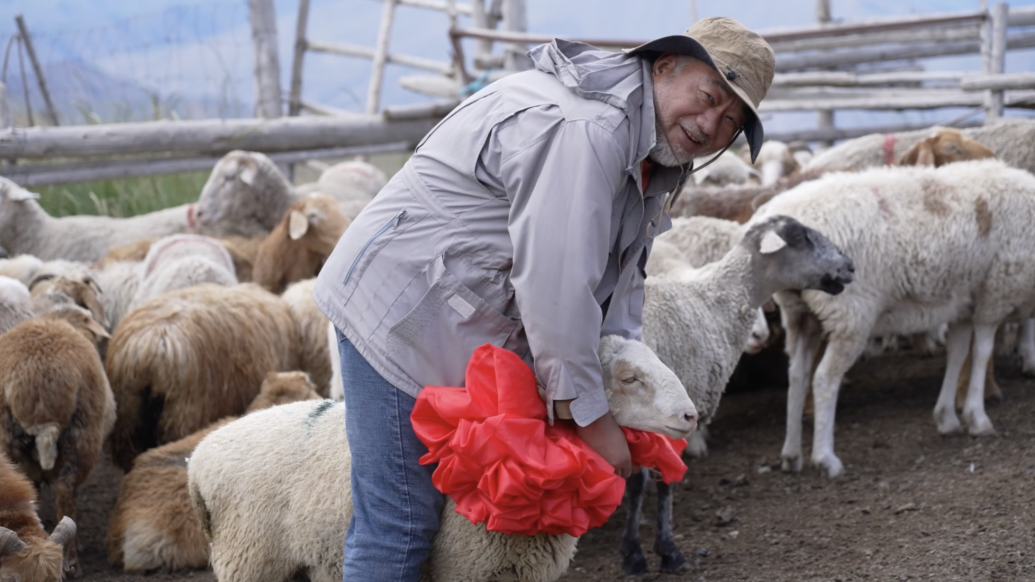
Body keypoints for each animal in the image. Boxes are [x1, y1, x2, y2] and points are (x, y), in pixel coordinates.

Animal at [749, 157, 1035, 476]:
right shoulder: (995, 293)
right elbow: (982, 353)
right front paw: (977, 417)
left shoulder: (963, 301)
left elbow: (958, 355)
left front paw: (947, 418)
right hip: (851, 313)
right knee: (824, 379)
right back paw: (826, 458)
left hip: (800, 316)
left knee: (797, 376)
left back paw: (791, 455)